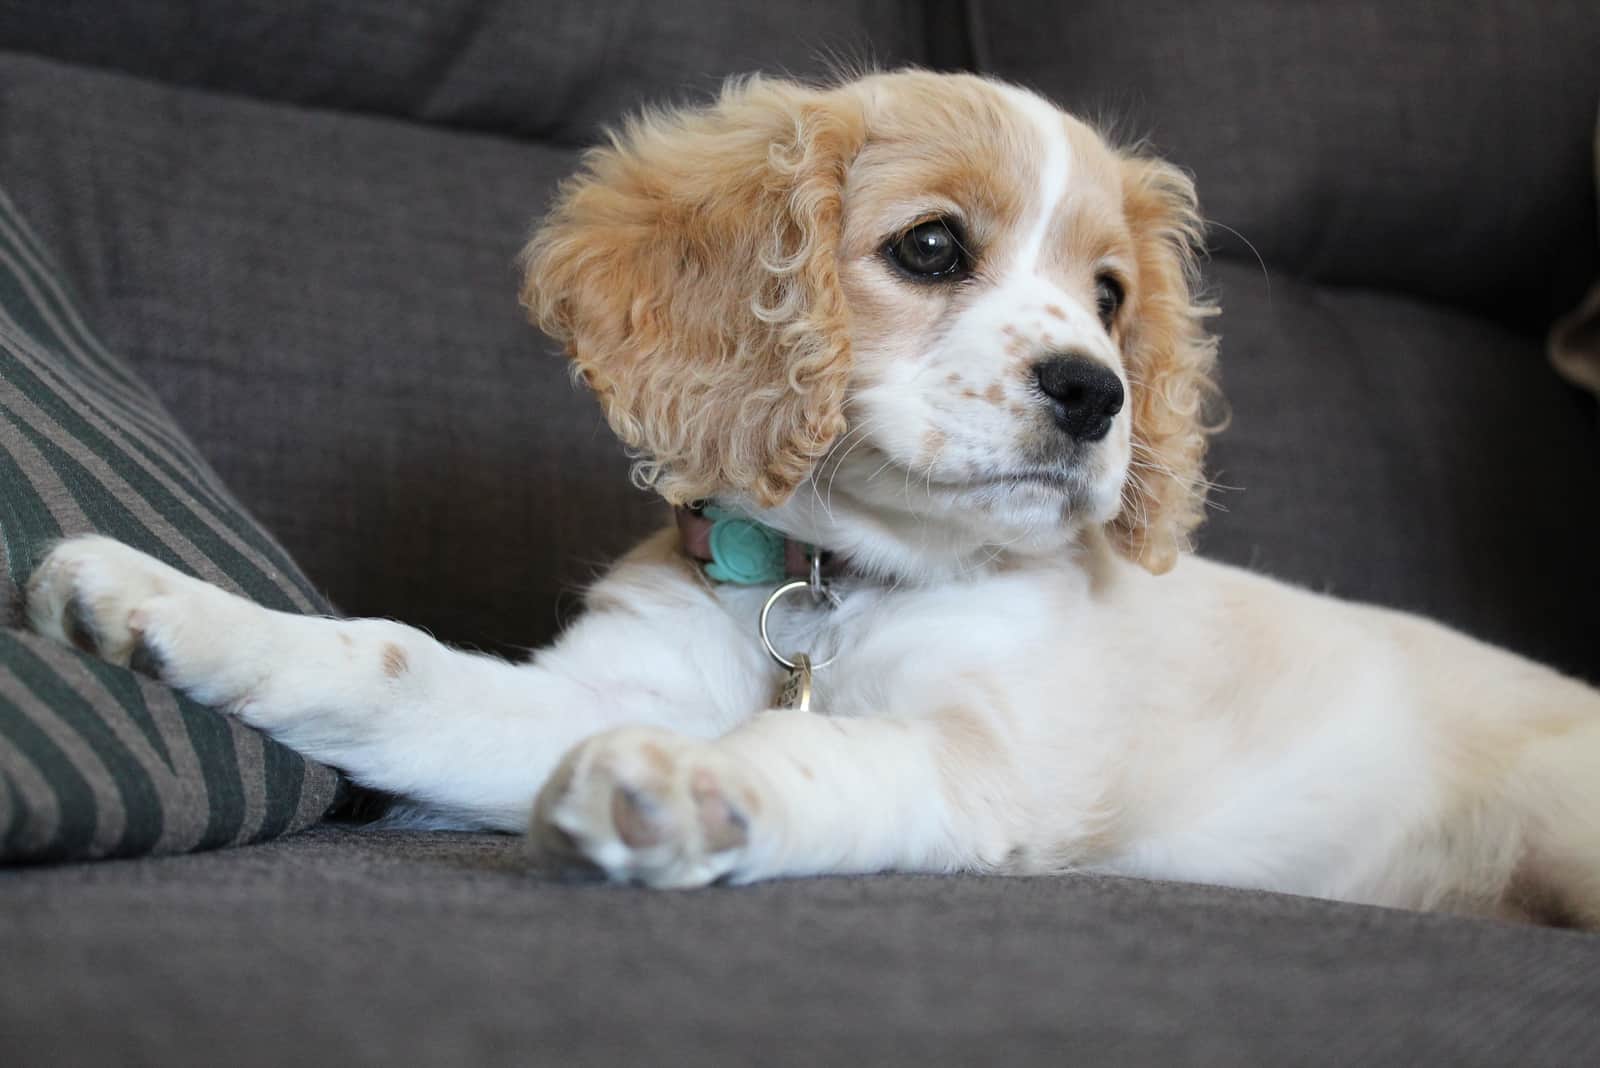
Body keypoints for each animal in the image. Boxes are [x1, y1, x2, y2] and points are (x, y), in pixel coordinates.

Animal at [25, 70, 1600, 920]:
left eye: (1109, 296)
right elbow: (392, 664)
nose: (1098, 393)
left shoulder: (978, 761)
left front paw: (694, 785)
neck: (842, 585)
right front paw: (157, 606)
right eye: (930, 247)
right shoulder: (586, 687)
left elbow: (821, 756)